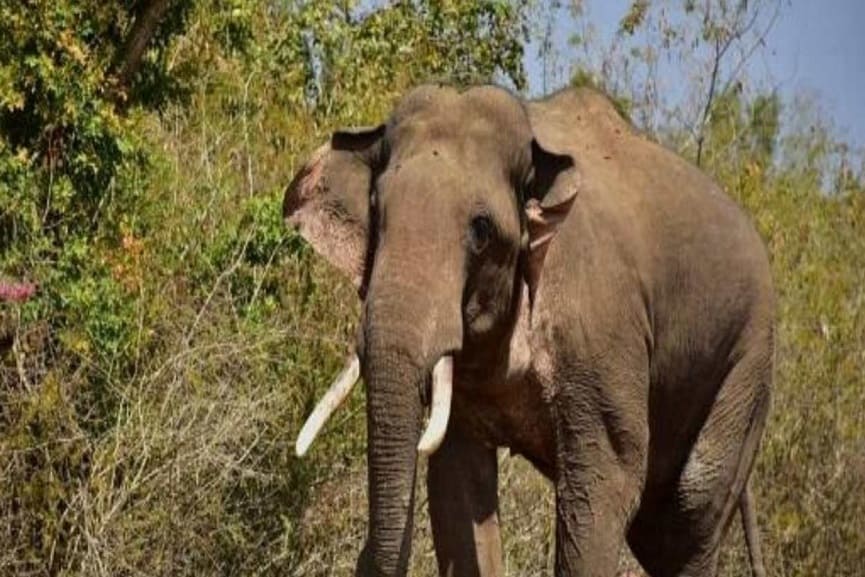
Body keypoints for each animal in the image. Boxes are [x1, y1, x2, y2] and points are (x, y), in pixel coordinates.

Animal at [285, 84, 774, 577]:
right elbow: (459, 484)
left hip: (746, 363)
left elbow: (606, 476)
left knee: (689, 513)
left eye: (481, 230)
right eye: (375, 211)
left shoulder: (599, 329)